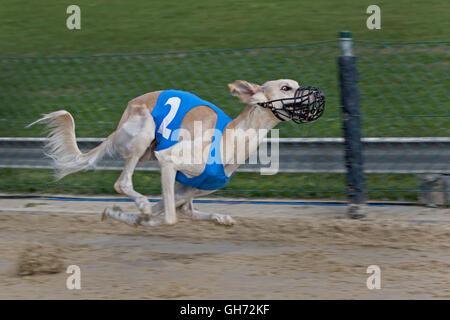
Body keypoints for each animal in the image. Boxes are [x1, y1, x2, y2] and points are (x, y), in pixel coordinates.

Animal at [29, 79, 326, 226]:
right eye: (286, 87)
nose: (318, 95)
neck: (230, 138)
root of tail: (121, 119)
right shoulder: (168, 161)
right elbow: (168, 218)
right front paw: (138, 217)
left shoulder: (186, 188)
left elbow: (173, 211)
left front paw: (122, 215)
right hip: (144, 133)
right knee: (123, 183)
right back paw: (140, 205)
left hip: (154, 156)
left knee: (186, 210)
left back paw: (218, 218)